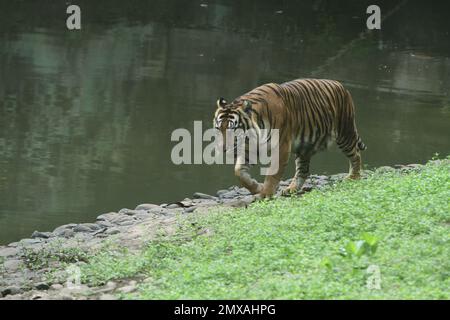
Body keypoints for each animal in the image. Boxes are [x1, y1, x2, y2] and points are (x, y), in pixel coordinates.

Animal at [214, 78, 366, 198]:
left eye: (233, 130)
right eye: (218, 128)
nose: (222, 148)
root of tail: (340, 86)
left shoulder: (281, 147)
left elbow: (272, 174)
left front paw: (265, 194)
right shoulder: (250, 147)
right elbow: (239, 172)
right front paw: (256, 188)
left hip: (344, 133)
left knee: (356, 154)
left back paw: (353, 178)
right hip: (305, 146)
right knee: (303, 170)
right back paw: (291, 189)